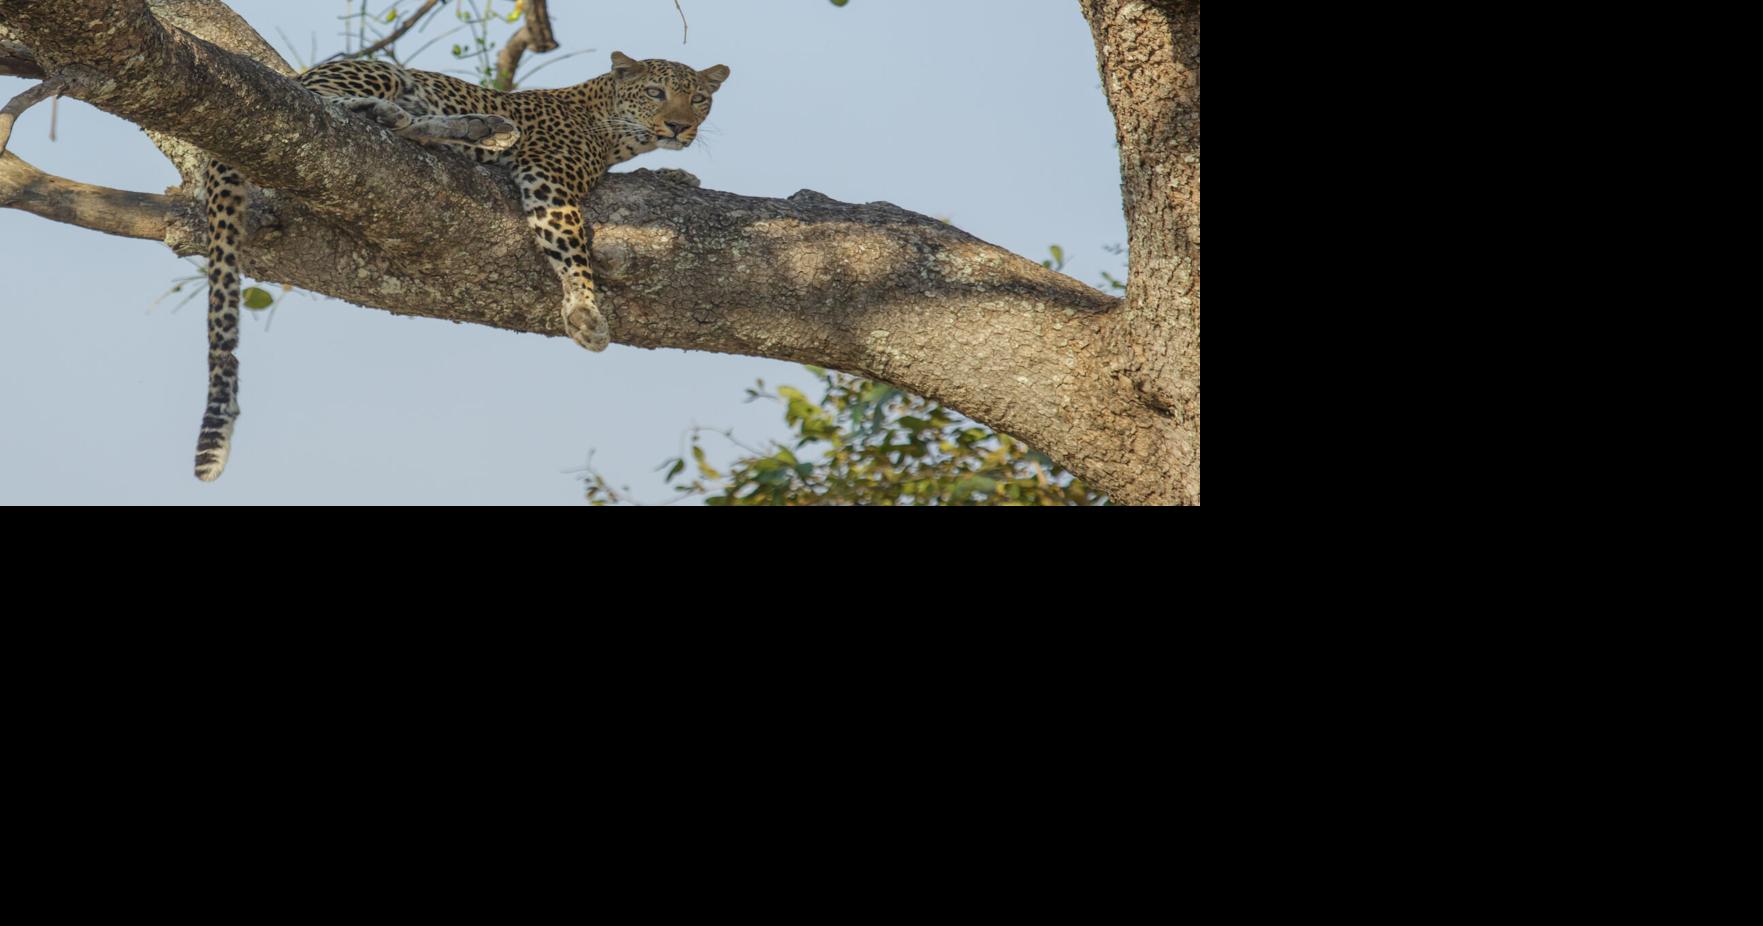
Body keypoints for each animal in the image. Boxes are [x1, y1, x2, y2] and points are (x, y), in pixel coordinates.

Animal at [193, 51, 730, 482]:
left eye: (699, 99)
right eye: (656, 92)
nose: (680, 127)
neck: (612, 128)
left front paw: (678, 174)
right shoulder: (549, 178)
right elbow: (569, 240)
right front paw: (583, 308)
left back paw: (478, 128)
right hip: (375, 72)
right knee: (330, 106)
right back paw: (456, 127)